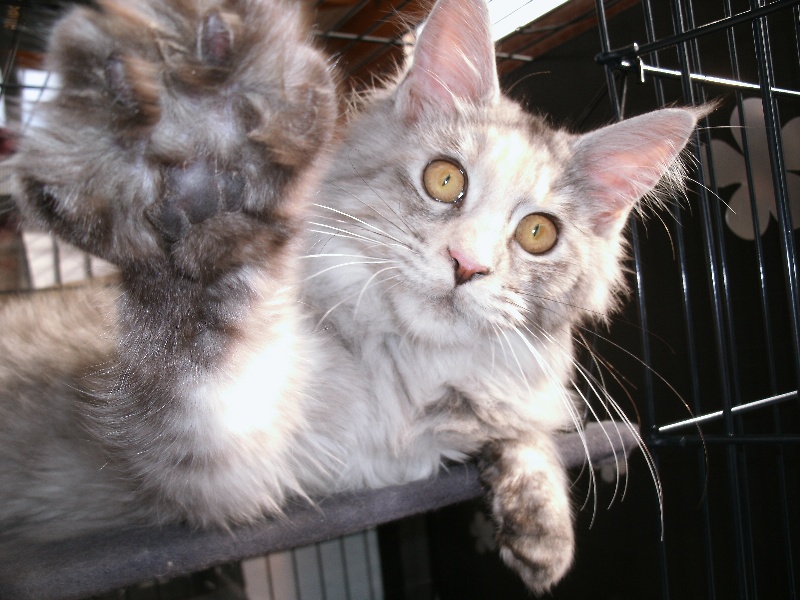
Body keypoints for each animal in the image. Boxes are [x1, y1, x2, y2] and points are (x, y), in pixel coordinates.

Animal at [0, 0, 700, 592]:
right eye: (444, 180)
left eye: (538, 234)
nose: (467, 265)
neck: (405, 379)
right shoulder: (219, 463)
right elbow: (208, 330)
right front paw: (204, 163)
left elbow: (527, 429)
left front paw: (540, 522)